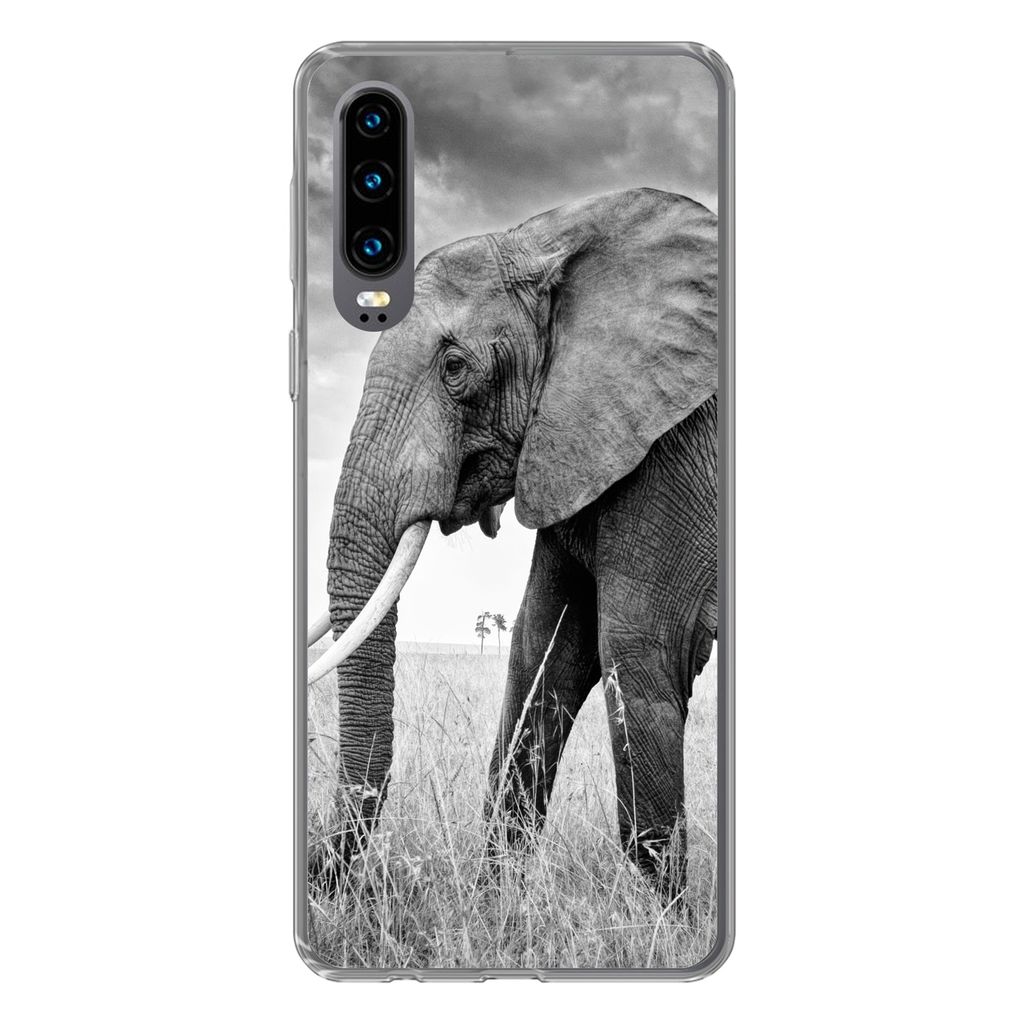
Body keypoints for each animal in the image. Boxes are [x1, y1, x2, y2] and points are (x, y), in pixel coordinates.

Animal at [307, 187, 718, 896]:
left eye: (454, 367)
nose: (319, 873)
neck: (554, 240)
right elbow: (541, 648)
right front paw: (496, 903)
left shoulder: (673, 447)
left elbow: (640, 649)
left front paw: (672, 917)